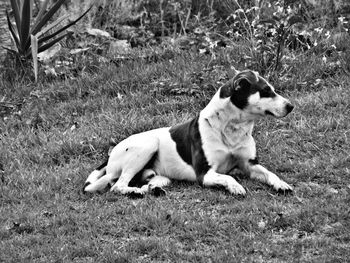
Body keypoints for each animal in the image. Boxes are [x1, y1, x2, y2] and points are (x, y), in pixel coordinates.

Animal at [83, 69, 294, 197]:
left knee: (146, 183)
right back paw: (135, 192)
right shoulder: (205, 174)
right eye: (266, 91)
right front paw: (235, 186)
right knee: (117, 186)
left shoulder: (250, 165)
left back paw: (153, 189)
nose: (291, 106)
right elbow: (229, 177)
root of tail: (110, 154)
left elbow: (270, 174)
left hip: (160, 175)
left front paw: (281, 184)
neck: (231, 127)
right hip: (147, 145)